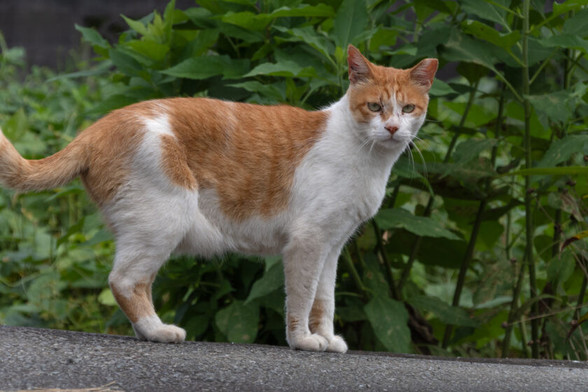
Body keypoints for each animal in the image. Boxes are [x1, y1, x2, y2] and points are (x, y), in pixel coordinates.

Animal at [0, 45, 436, 352]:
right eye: (375, 107)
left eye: (407, 108)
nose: (393, 128)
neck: (368, 158)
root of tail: (95, 129)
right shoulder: (308, 243)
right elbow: (301, 299)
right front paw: (302, 341)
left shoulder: (332, 247)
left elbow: (323, 300)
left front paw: (327, 338)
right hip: (164, 219)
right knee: (124, 281)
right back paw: (158, 331)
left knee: (133, 281)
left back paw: (149, 330)